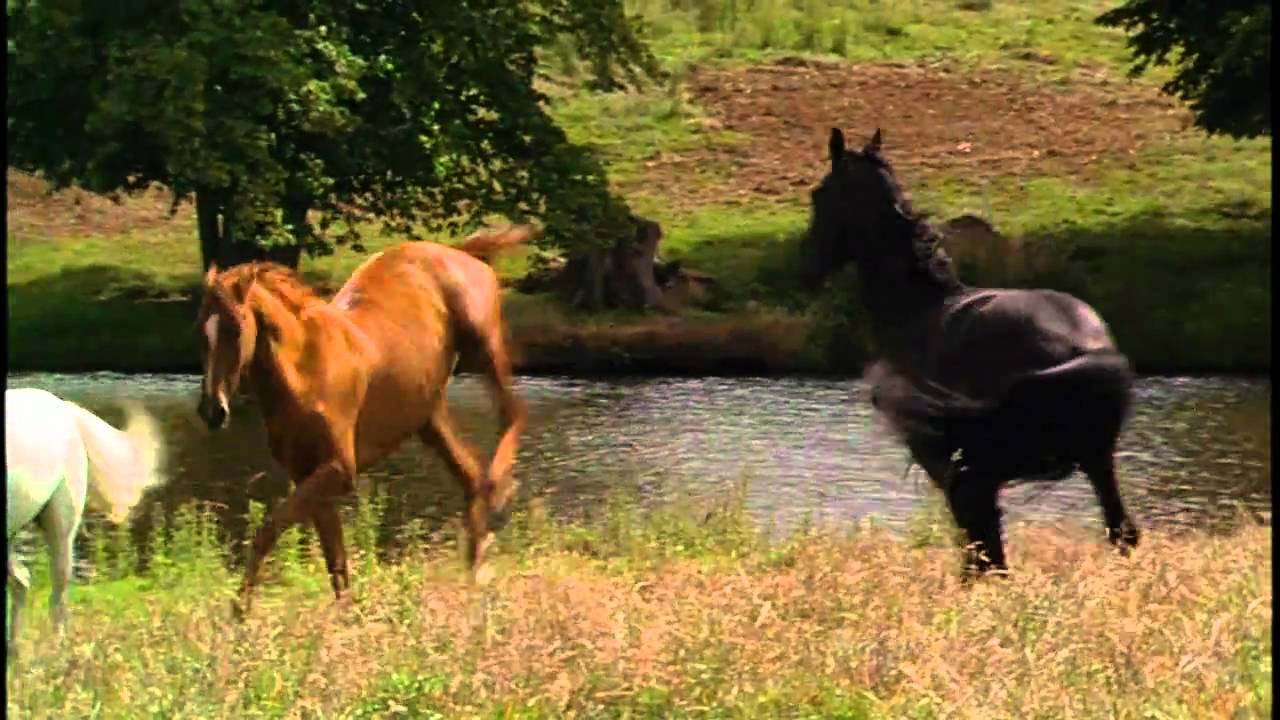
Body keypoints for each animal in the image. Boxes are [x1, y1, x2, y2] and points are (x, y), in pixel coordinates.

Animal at [195, 228, 532, 616]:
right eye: (199, 330)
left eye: (236, 329)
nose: (212, 410)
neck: (306, 372)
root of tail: (460, 252)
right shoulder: (309, 477)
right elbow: (335, 562)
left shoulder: (339, 469)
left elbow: (268, 529)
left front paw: (239, 613)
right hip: (427, 414)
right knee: (471, 473)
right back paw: (475, 567)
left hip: (481, 344)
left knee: (513, 414)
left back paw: (500, 491)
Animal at [802, 127, 1140, 578]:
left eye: (819, 194)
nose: (805, 267)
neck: (920, 309)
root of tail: (1084, 349)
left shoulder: (953, 473)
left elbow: (977, 554)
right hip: (1097, 461)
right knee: (1120, 532)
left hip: (986, 473)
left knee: (989, 556)